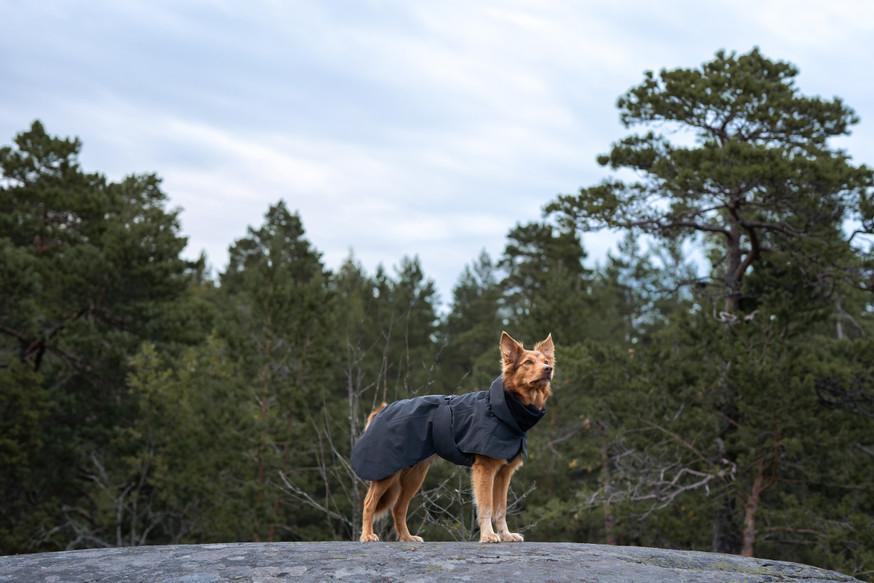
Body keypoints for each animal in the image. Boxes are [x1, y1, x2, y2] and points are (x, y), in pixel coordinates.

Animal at [348, 336, 552, 544]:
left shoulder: (504, 474)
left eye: (545, 361)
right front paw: (488, 535)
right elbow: (486, 506)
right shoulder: (485, 469)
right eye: (528, 362)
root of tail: (381, 409)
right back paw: (367, 535)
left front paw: (506, 535)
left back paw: (407, 537)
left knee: (398, 508)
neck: (503, 409)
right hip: (385, 472)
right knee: (369, 503)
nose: (548, 369)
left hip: (414, 476)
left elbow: (501, 509)